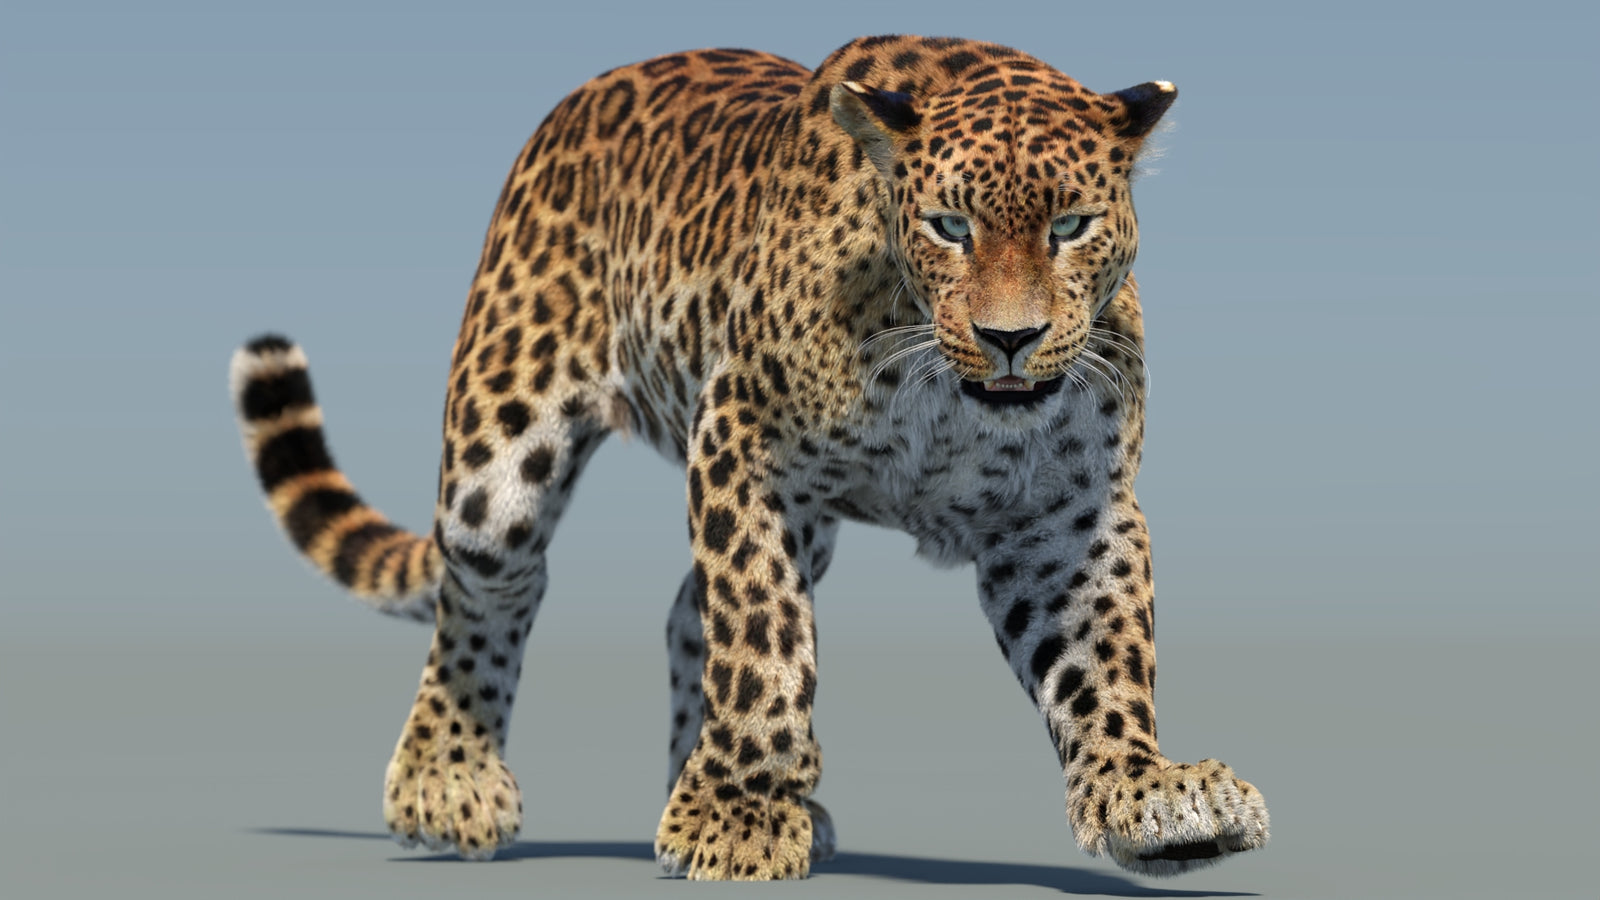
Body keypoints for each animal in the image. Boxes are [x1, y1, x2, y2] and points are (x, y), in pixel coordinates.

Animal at [229, 34, 1269, 881]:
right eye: (949, 227)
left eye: (1069, 227)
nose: (1008, 338)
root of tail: (581, 96)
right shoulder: (743, 443)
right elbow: (761, 634)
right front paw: (738, 820)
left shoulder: (1067, 511)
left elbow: (1103, 653)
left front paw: (1149, 794)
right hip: (502, 451)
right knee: (489, 587)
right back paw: (447, 783)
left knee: (683, 615)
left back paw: (694, 792)